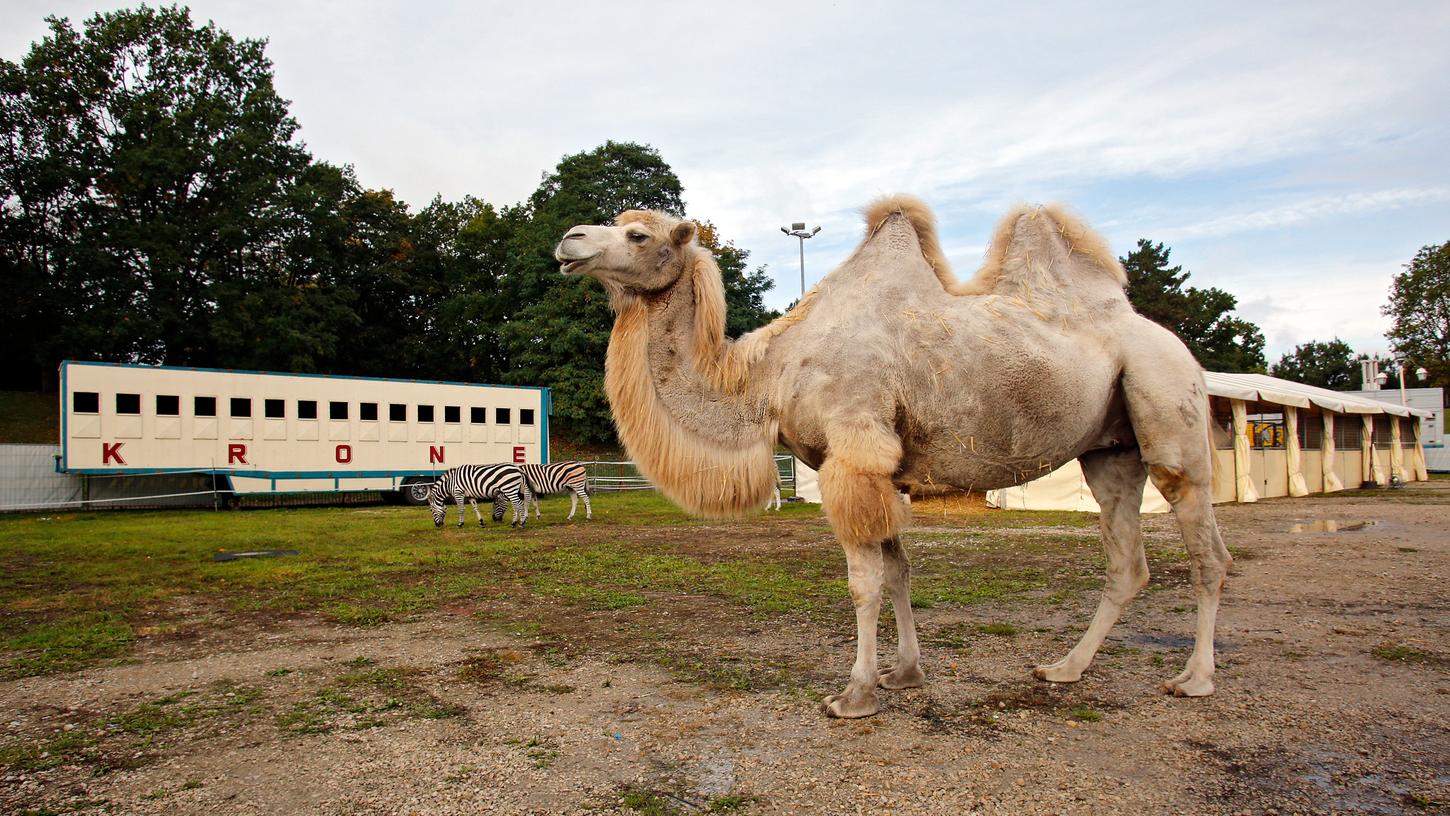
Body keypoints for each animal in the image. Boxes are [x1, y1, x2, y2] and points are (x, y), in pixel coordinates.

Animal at [548, 194, 1229, 718]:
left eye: (638, 233)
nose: (567, 240)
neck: (770, 373)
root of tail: (1171, 343)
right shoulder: (883, 468)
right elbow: (899, 571)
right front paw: (903, 674)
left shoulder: (856, 452)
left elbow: (863, 583)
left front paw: (854, 694)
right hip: (1110, 451)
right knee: (1127, 563)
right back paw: (1064, 668)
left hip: (1170, 408)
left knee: (1206, 549)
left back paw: (1193, 679)